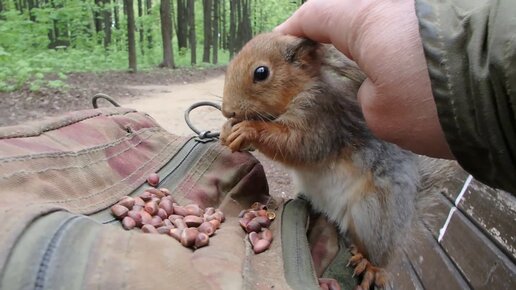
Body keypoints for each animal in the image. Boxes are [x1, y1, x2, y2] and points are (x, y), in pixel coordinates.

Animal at [219, 32, 444, 290]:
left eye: (261, 72)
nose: (227, 111)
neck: (305, 84)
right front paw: (227, 131)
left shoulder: (324, 116)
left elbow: (297, 145)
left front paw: (248, 130)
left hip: (375, 211)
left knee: (379, 253)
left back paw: (370, 265)